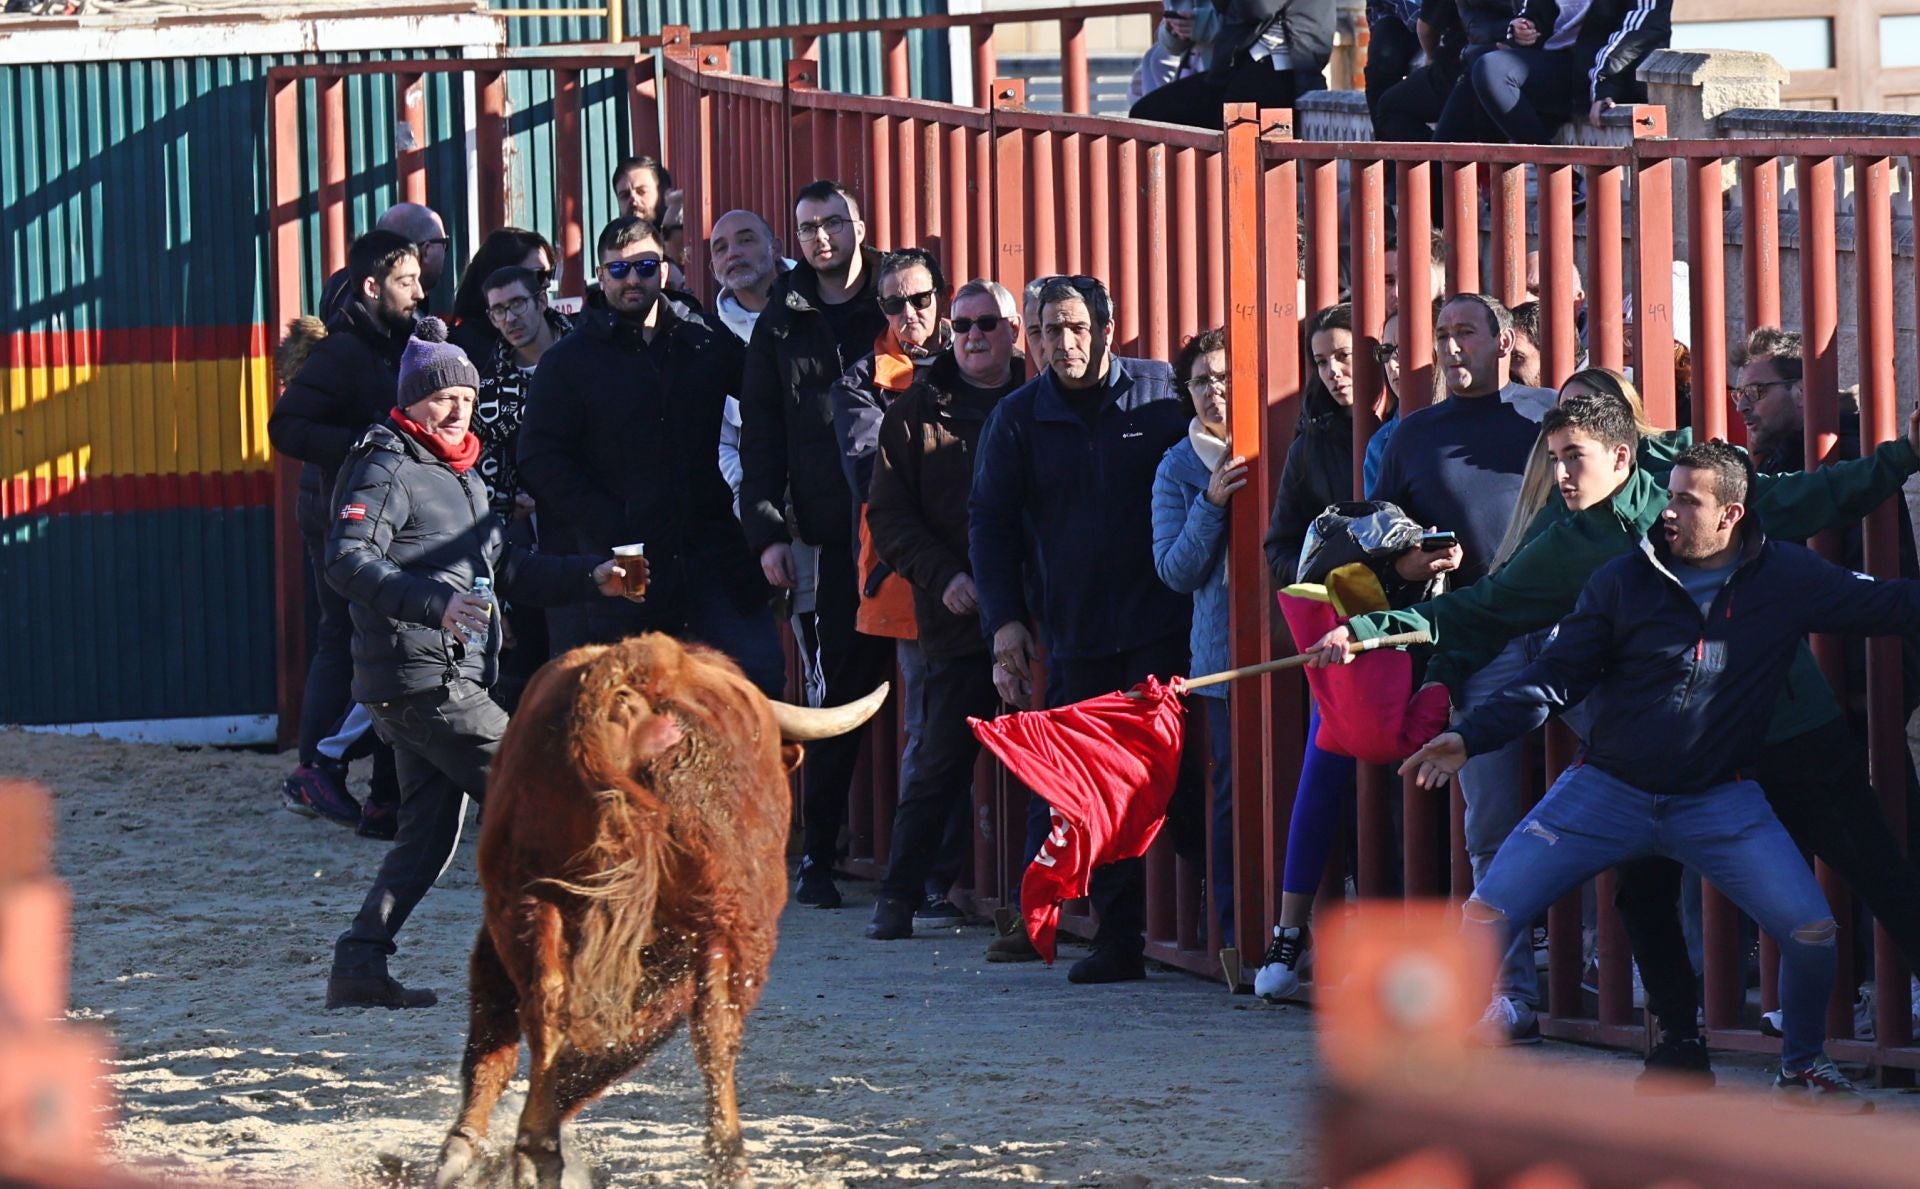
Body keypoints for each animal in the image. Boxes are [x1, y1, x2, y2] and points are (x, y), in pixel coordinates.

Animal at [432, 637, 879, 1183]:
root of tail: (633, 682)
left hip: (525, 898)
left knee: (544, 1005)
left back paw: (535, 1149)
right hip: (730, 920)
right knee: (713, 1027)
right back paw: (729, 1161)